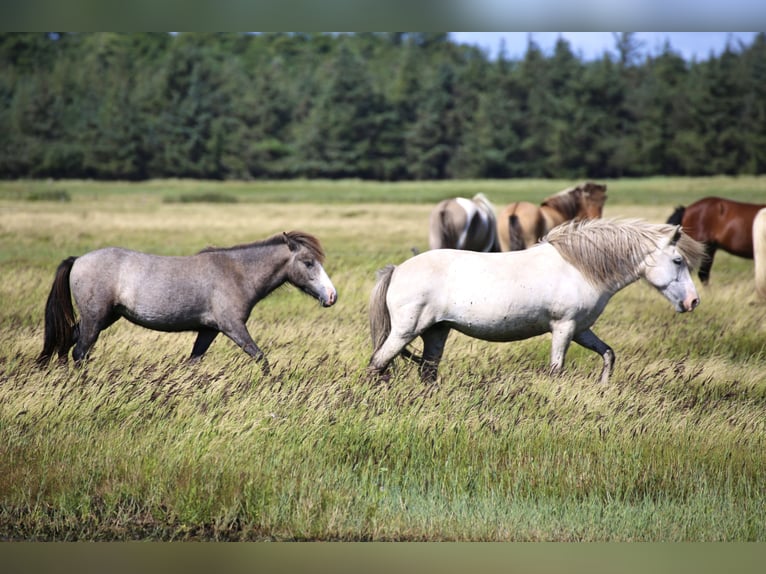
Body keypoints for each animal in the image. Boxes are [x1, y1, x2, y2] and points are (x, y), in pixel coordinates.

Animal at [35, 230, 336, 374]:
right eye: (308, 262)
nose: (332, 296)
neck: (237, 272)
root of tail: (78, 260)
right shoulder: (233, 327)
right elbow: (261, 358)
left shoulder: (209, 330)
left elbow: (193, 362)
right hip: (95, 319)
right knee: (79, 352)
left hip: (104, 318)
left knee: (66, 342)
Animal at [368, 220, 704, 388]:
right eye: (678, 261)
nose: (693, 301)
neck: (579, 268)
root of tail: (397, 269)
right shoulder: (564, 328)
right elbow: (557, 369)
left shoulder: (581, 330)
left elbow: (608, 354)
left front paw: (603, 387)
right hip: (405, 332)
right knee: (376, 364)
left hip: (437, 332)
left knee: (427, 372)